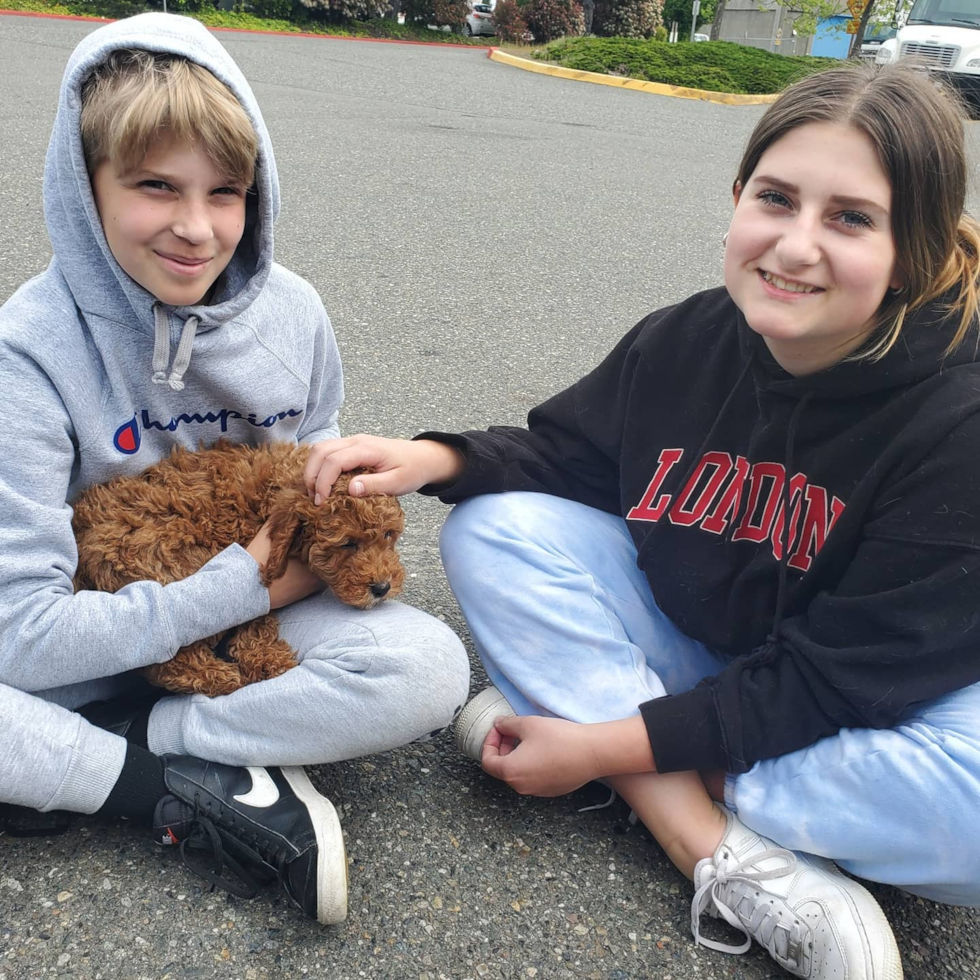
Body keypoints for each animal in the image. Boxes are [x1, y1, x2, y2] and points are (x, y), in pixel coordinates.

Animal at [71, 440, 404, 700]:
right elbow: (254, 614)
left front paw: (262, 658)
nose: (382, 588)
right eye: (348, 544)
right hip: (177, 563)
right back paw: (220, 676)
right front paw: (268, 660)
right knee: (165, 658)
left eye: (389, 535)